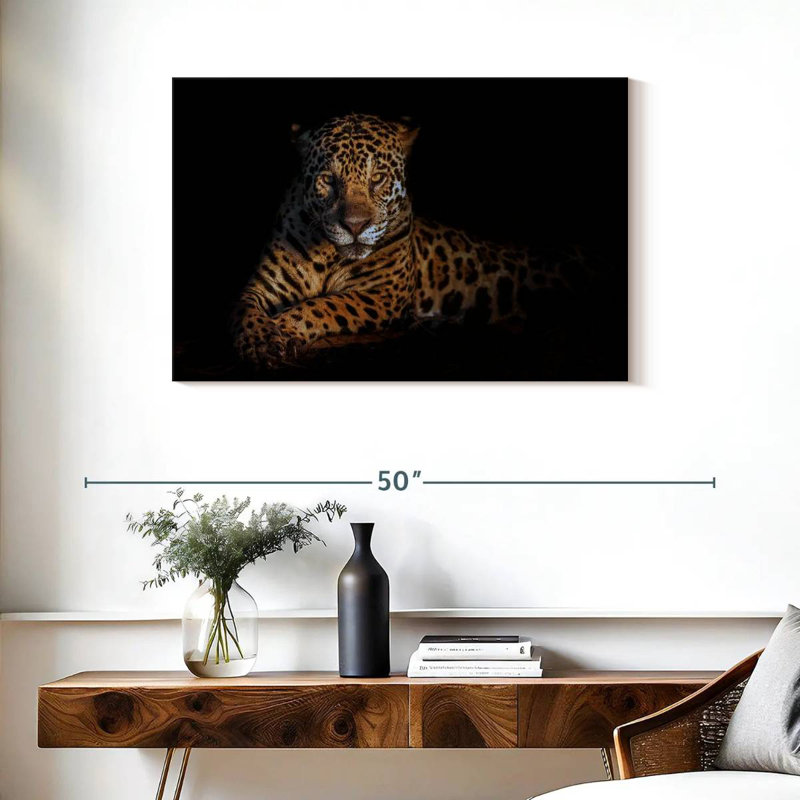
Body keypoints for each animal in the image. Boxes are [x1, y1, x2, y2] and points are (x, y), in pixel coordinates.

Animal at [232, 113, 590, 369]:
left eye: (377, 178)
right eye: (328, 180)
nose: (354, 226)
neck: (328, 254)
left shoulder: (381, 295)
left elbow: (325, 305)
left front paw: (285, 325)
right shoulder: (263, 286)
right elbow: (244, 308)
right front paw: (261, 340)